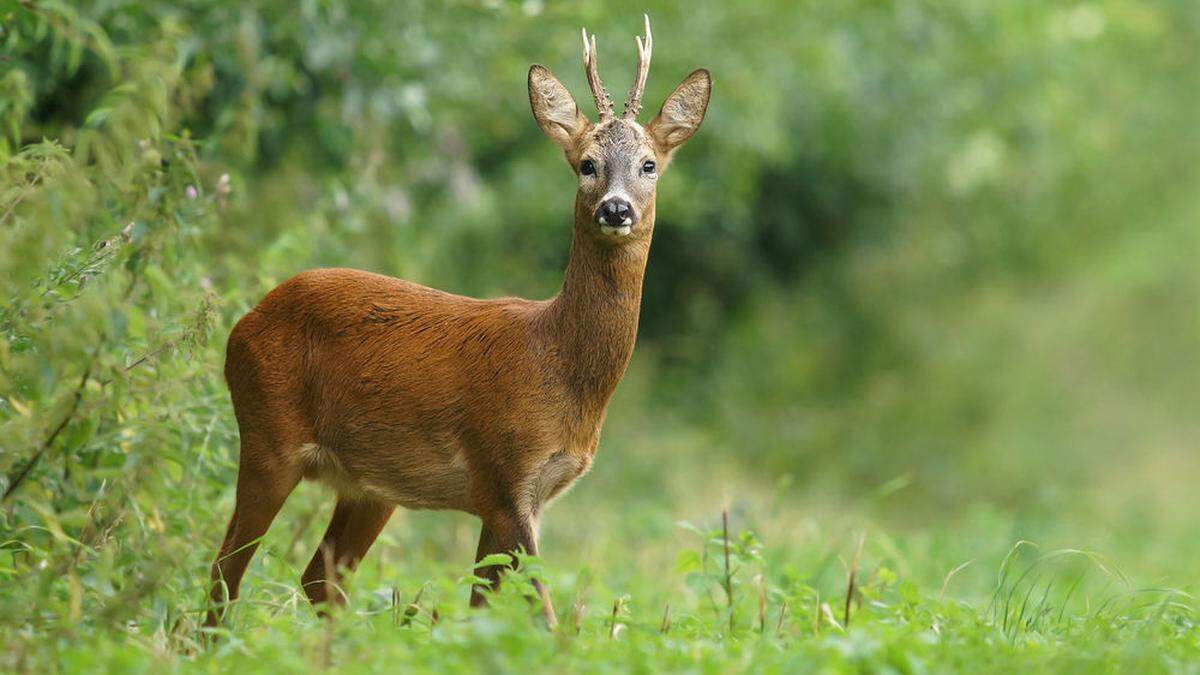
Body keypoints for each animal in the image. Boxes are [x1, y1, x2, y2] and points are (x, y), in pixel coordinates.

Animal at [207, 13, 710, 629]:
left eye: (649, 165)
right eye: (586, 164)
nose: (616, 209)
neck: (560, 366)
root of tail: (243, 323)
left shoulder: (518, 496)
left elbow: (484, 608)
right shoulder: (502, 472)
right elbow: (539, 610)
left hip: (371, 485)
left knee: (318, 577)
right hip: (267, 434)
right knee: (225, 571)